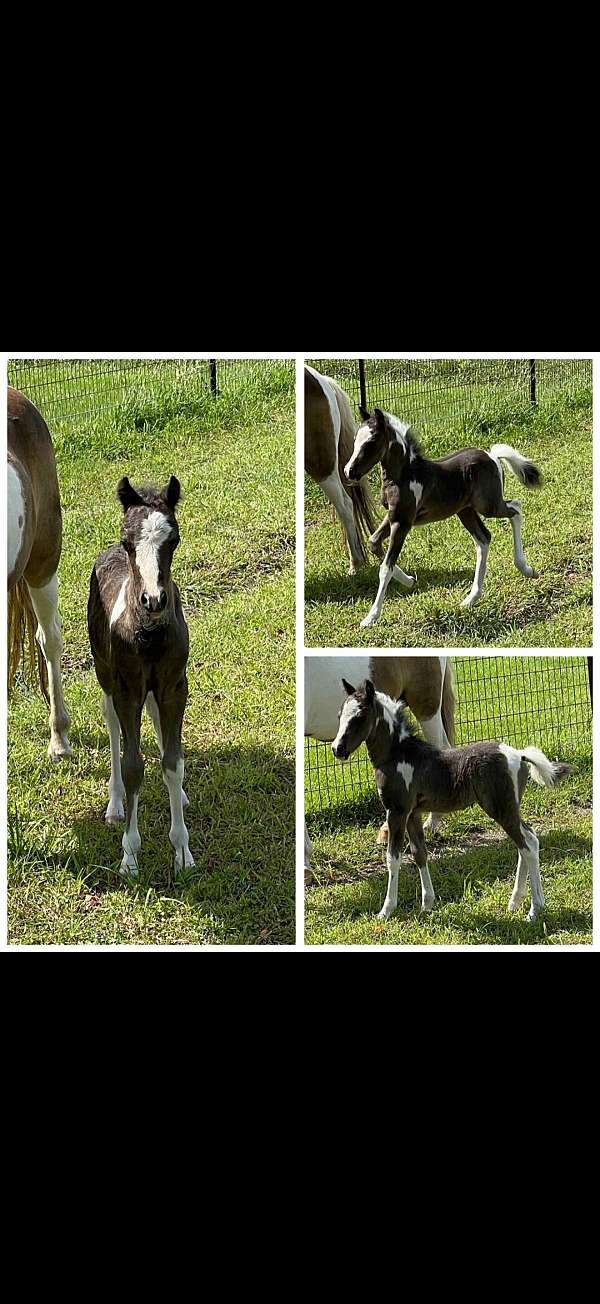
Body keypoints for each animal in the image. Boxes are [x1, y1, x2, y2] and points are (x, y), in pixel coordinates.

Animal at [87, 475, 194, 877]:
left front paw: (182, 851)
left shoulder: (173, 686)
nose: (154, 599)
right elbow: (134, 766)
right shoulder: (127, 688)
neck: (148, 633)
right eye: (128, 542)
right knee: (112, 725)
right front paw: (130, 856)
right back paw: (116, 804)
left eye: (173, 539)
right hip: (105, 673)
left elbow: (173, 763)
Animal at [332, 679, 571, 922]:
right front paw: (427, 904)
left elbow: (393, 857)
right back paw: (514, 903)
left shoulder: (397, 811)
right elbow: (419, 854)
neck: (398, 755)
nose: (337, 749)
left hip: (500, 808)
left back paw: (534, 909)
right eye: (340, 714)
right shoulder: (413, 813)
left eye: (360, 716)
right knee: (528, 840)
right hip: (510, 807)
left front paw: (386, 910)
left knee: (527, 845)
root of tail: (519, 754)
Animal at [344, 406, 541, 627]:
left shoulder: (402, 522)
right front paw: (409, 581)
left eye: (371, 442)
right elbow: (373, 543)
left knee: (516, 508)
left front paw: (371, 617)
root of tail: (492, 456)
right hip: (465, 510)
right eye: (355, 440)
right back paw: (471, 598)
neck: (405, 475)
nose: (348, 472)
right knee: (483, 539)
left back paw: (526, 569)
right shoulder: (393, 516)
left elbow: (386, 567)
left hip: (488, 506)